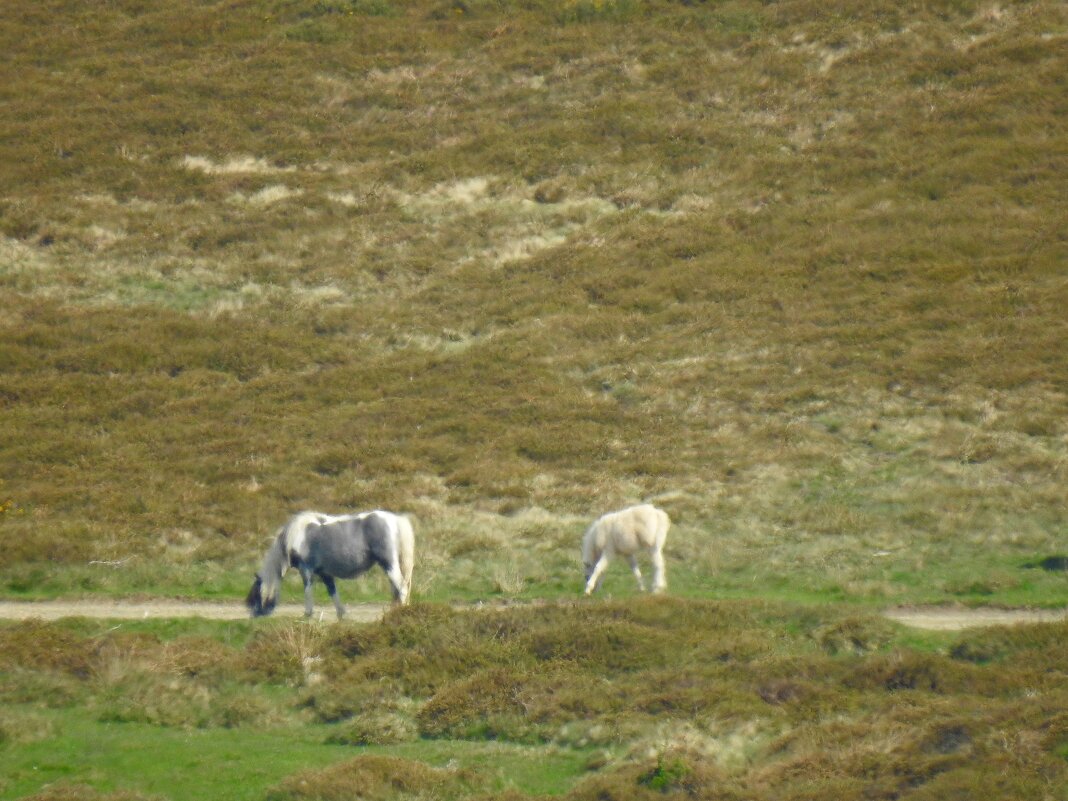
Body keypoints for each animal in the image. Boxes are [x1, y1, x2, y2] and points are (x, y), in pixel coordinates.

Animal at [247, 514, 414, 619]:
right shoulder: (325, 573)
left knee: (401, 588)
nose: (254, 615)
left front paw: (307, 614)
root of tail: (396, 520)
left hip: (389, 564)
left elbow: (308, 590)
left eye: (256, 594)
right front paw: (341, 614)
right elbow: (332, 591)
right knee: (396, 589)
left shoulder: (306, 569)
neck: (295, 536)